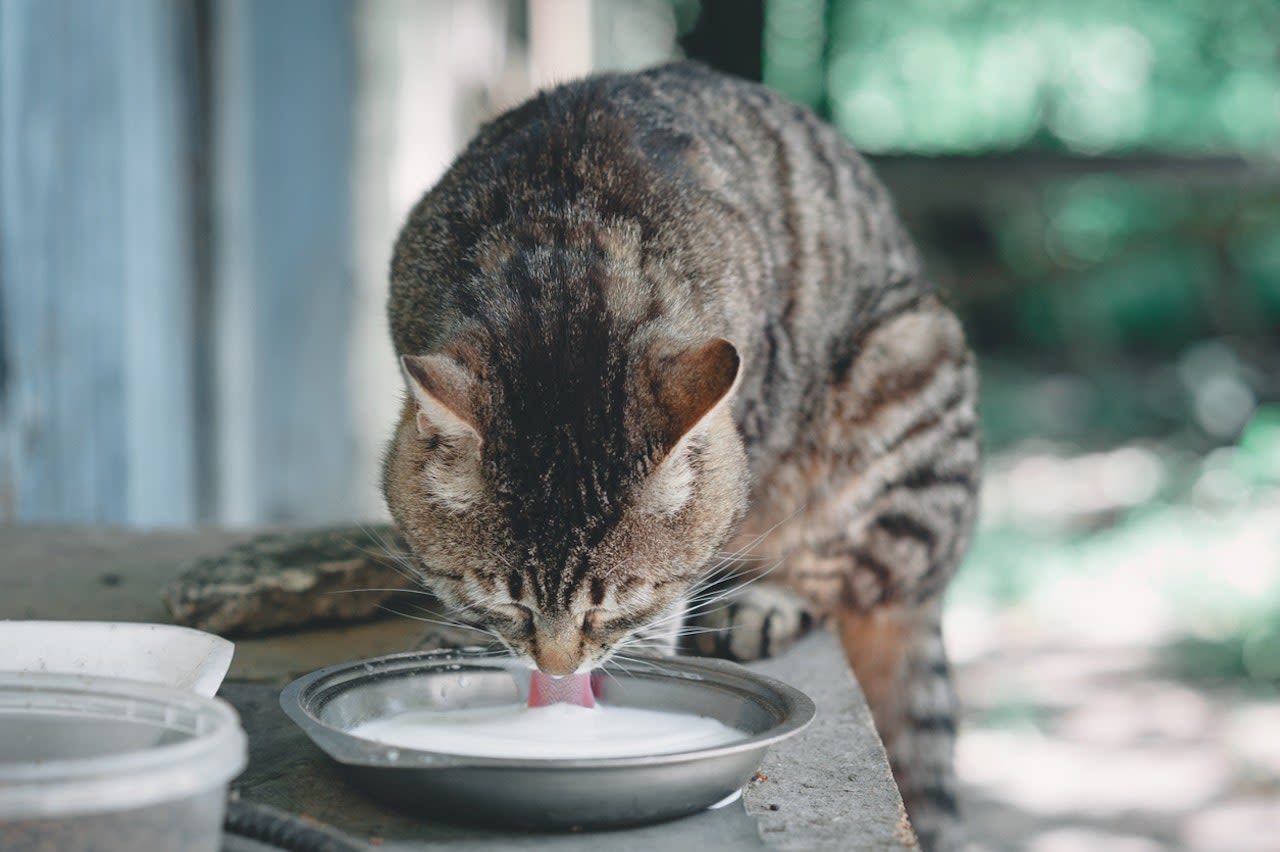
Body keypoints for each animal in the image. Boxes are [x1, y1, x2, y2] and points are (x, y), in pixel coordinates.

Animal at [378, 61, 977, 849]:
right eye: (508, 598)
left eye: (623, 599)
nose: (558, 671)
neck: (563, 243)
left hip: (908, 372)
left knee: (865, 568)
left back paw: (771, 602)